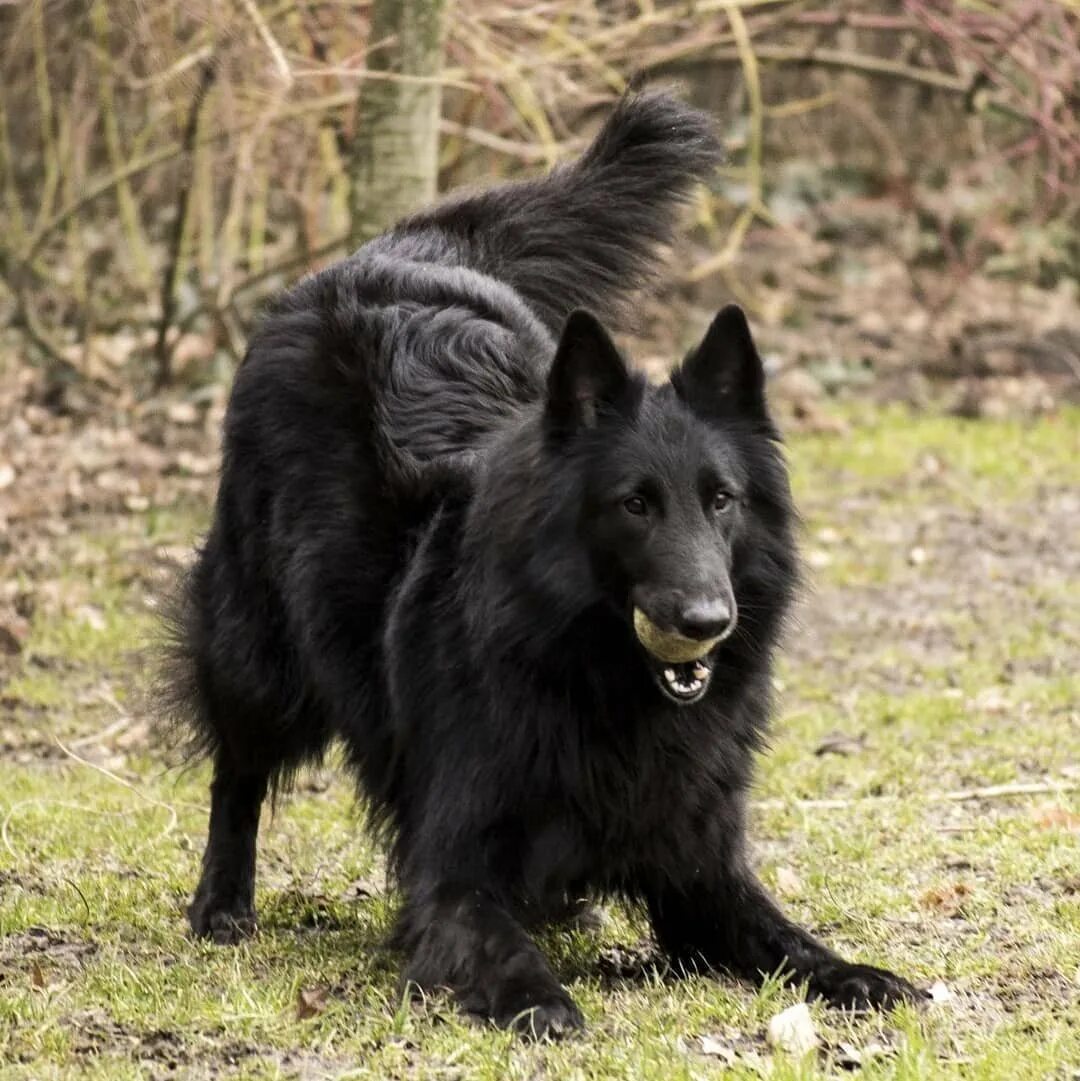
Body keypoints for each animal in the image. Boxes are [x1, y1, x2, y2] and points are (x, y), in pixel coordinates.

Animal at [162, 88, 921, 1033]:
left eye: (721, 500)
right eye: (635, 504)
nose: (706, 620)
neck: (597, 674)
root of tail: (392, 250)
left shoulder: (698, 862)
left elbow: (784, 935)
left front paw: (855, 972)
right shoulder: (453, 863)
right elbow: (491, 935)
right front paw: (537, 995)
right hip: (257, 653)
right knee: (238, 768)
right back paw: (222, 903)